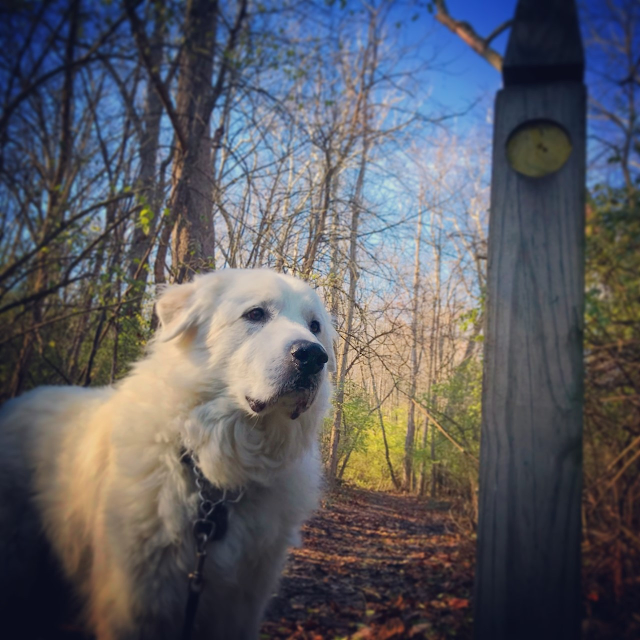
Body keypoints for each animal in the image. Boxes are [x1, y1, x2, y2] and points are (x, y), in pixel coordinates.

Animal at [0, 270, 336, 640]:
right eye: (255, 314)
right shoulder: (136, 607)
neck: (215, 476)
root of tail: (21, 400)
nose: (313, 356)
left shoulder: (239, 607)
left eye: (315, 326)